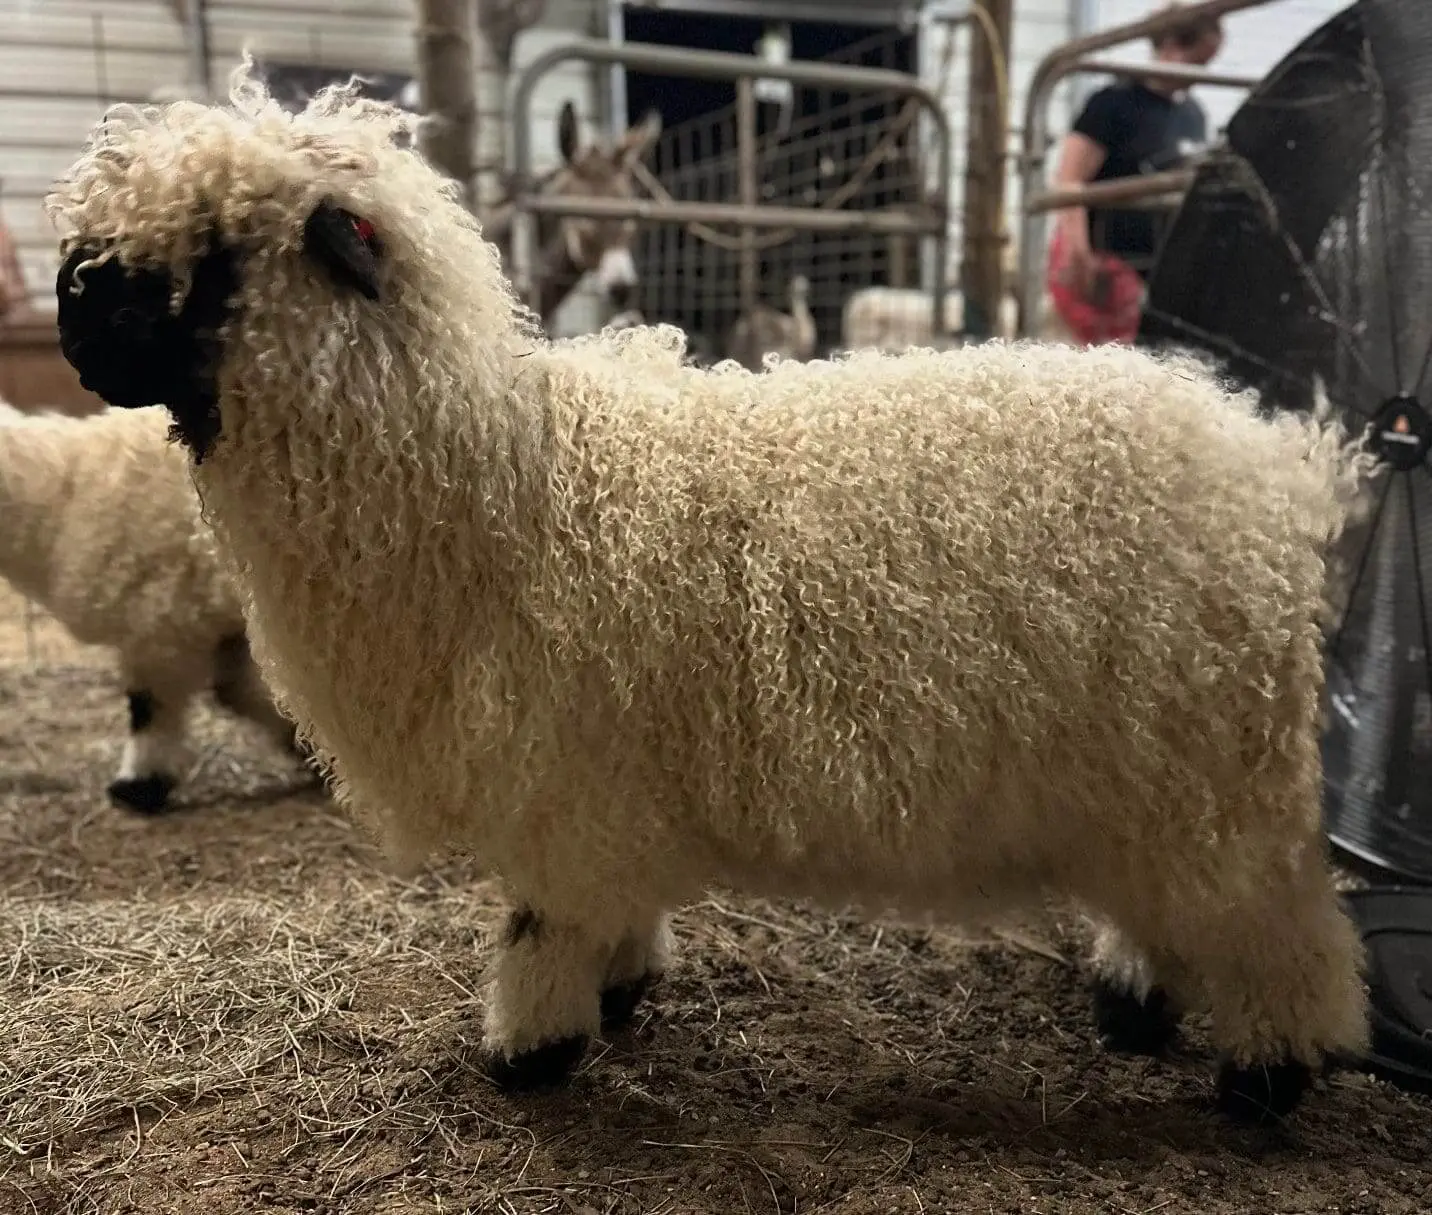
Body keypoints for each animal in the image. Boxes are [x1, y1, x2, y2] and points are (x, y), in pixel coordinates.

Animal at [48, 69, 1374, 1126]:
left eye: (217, 247)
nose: (64, 295)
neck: (495, 479)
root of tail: (1282, 471)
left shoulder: (564, 777)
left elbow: (542, 922)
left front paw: (529, 1052)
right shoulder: (609, 788)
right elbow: (611, 908)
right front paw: (623, 988)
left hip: (1210, 764)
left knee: (1283, 928)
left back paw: (1267, 1078)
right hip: (1156, 767)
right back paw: (1135, 1005)